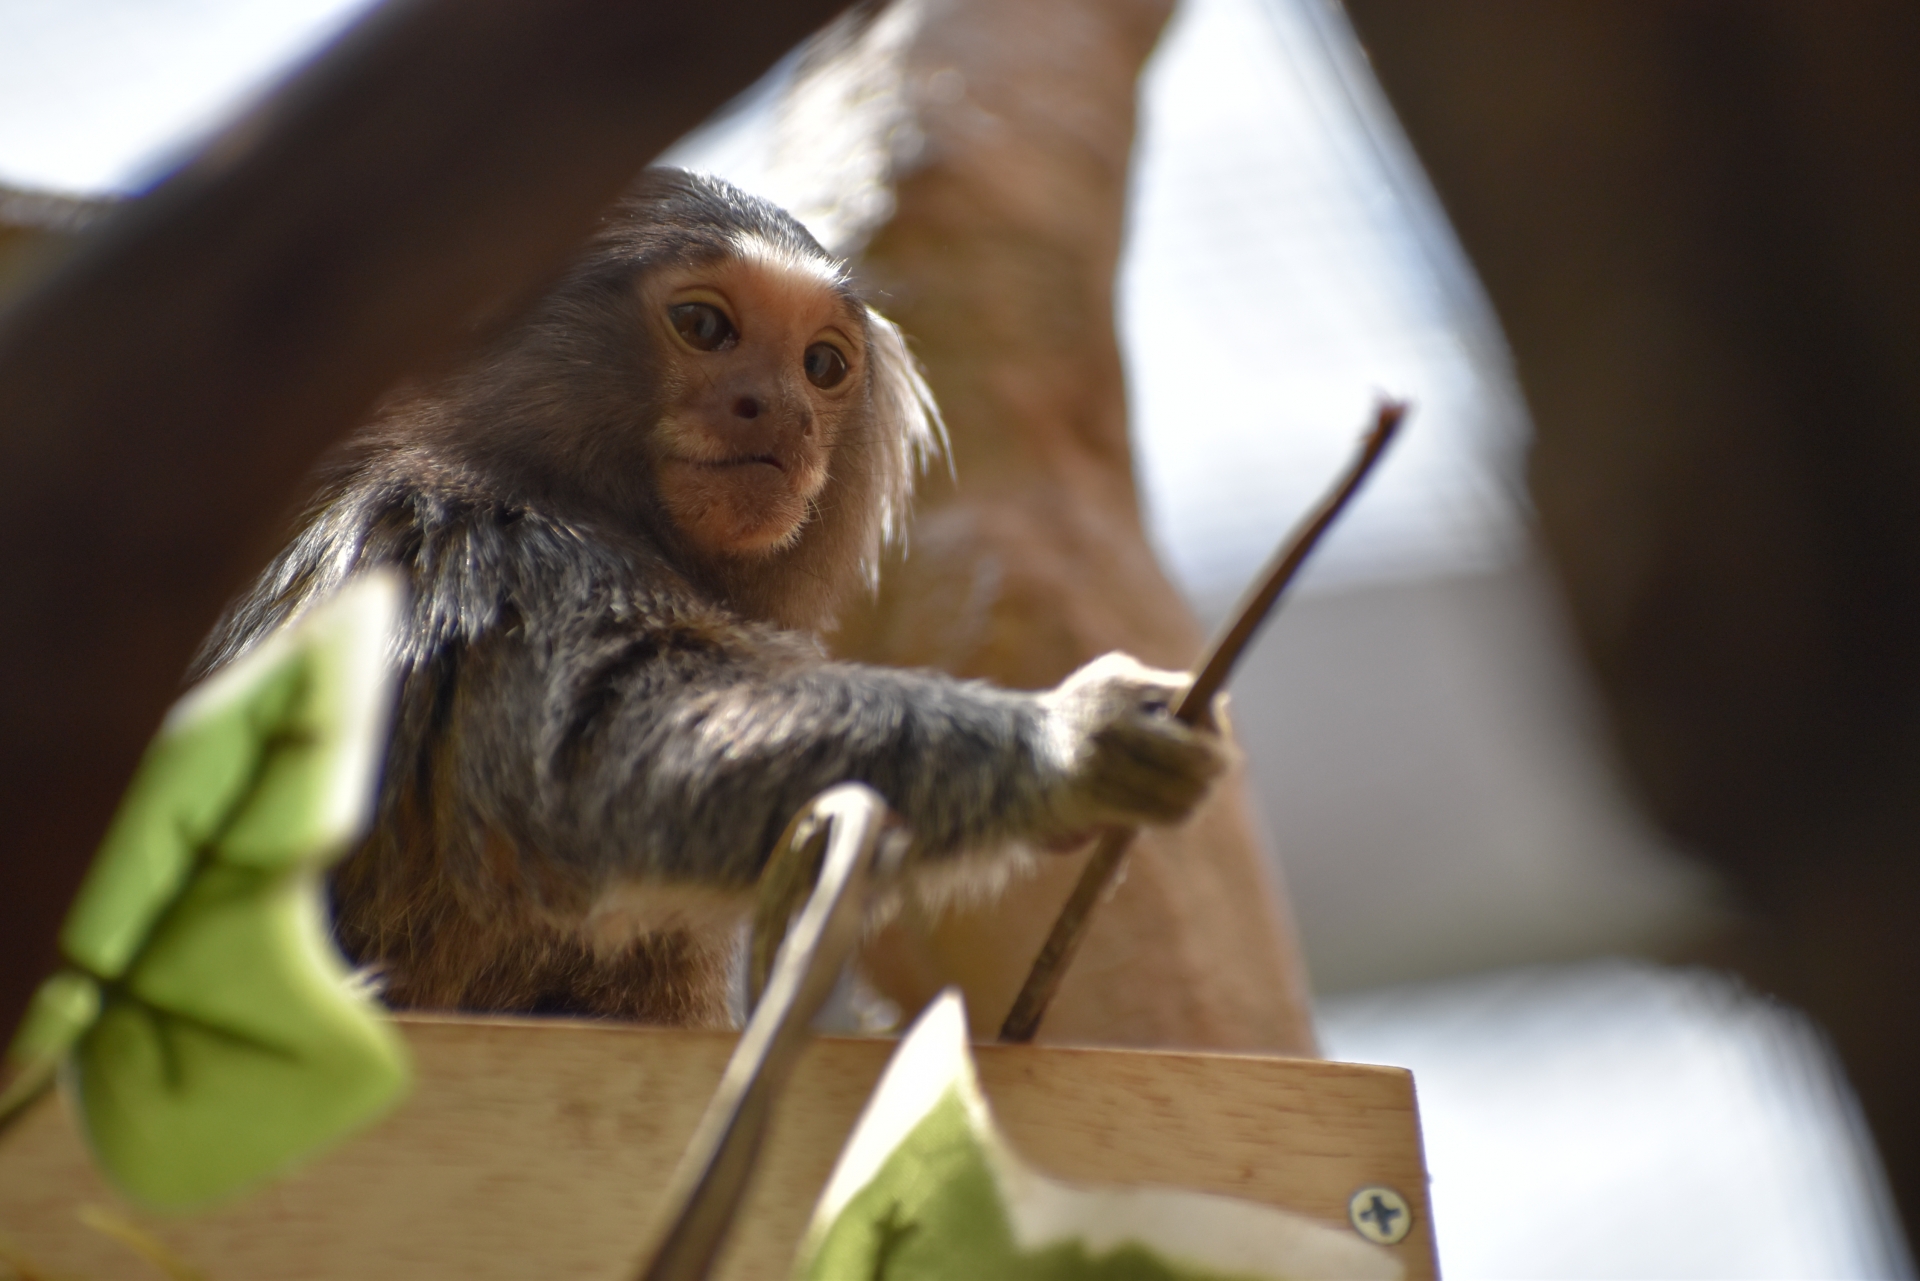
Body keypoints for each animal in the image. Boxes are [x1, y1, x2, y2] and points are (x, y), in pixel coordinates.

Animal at [198, 169, 1228, 1029]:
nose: (780, 411)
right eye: (704, 328)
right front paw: (1069, 742)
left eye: (823, 366)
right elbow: (599, 752)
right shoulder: (485, 550)